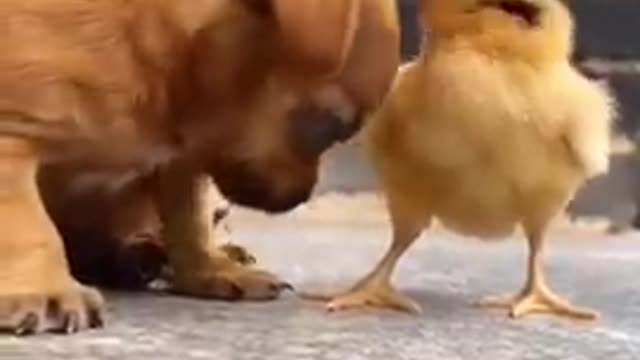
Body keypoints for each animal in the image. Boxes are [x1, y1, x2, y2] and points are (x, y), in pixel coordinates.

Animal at [0, 0, 400, 336]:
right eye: (328, 129)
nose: (302, 196)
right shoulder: (13, 139)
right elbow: (29, 226)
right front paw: (45, 289)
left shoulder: (180, 160)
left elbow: (190, 221)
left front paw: (211, 268)